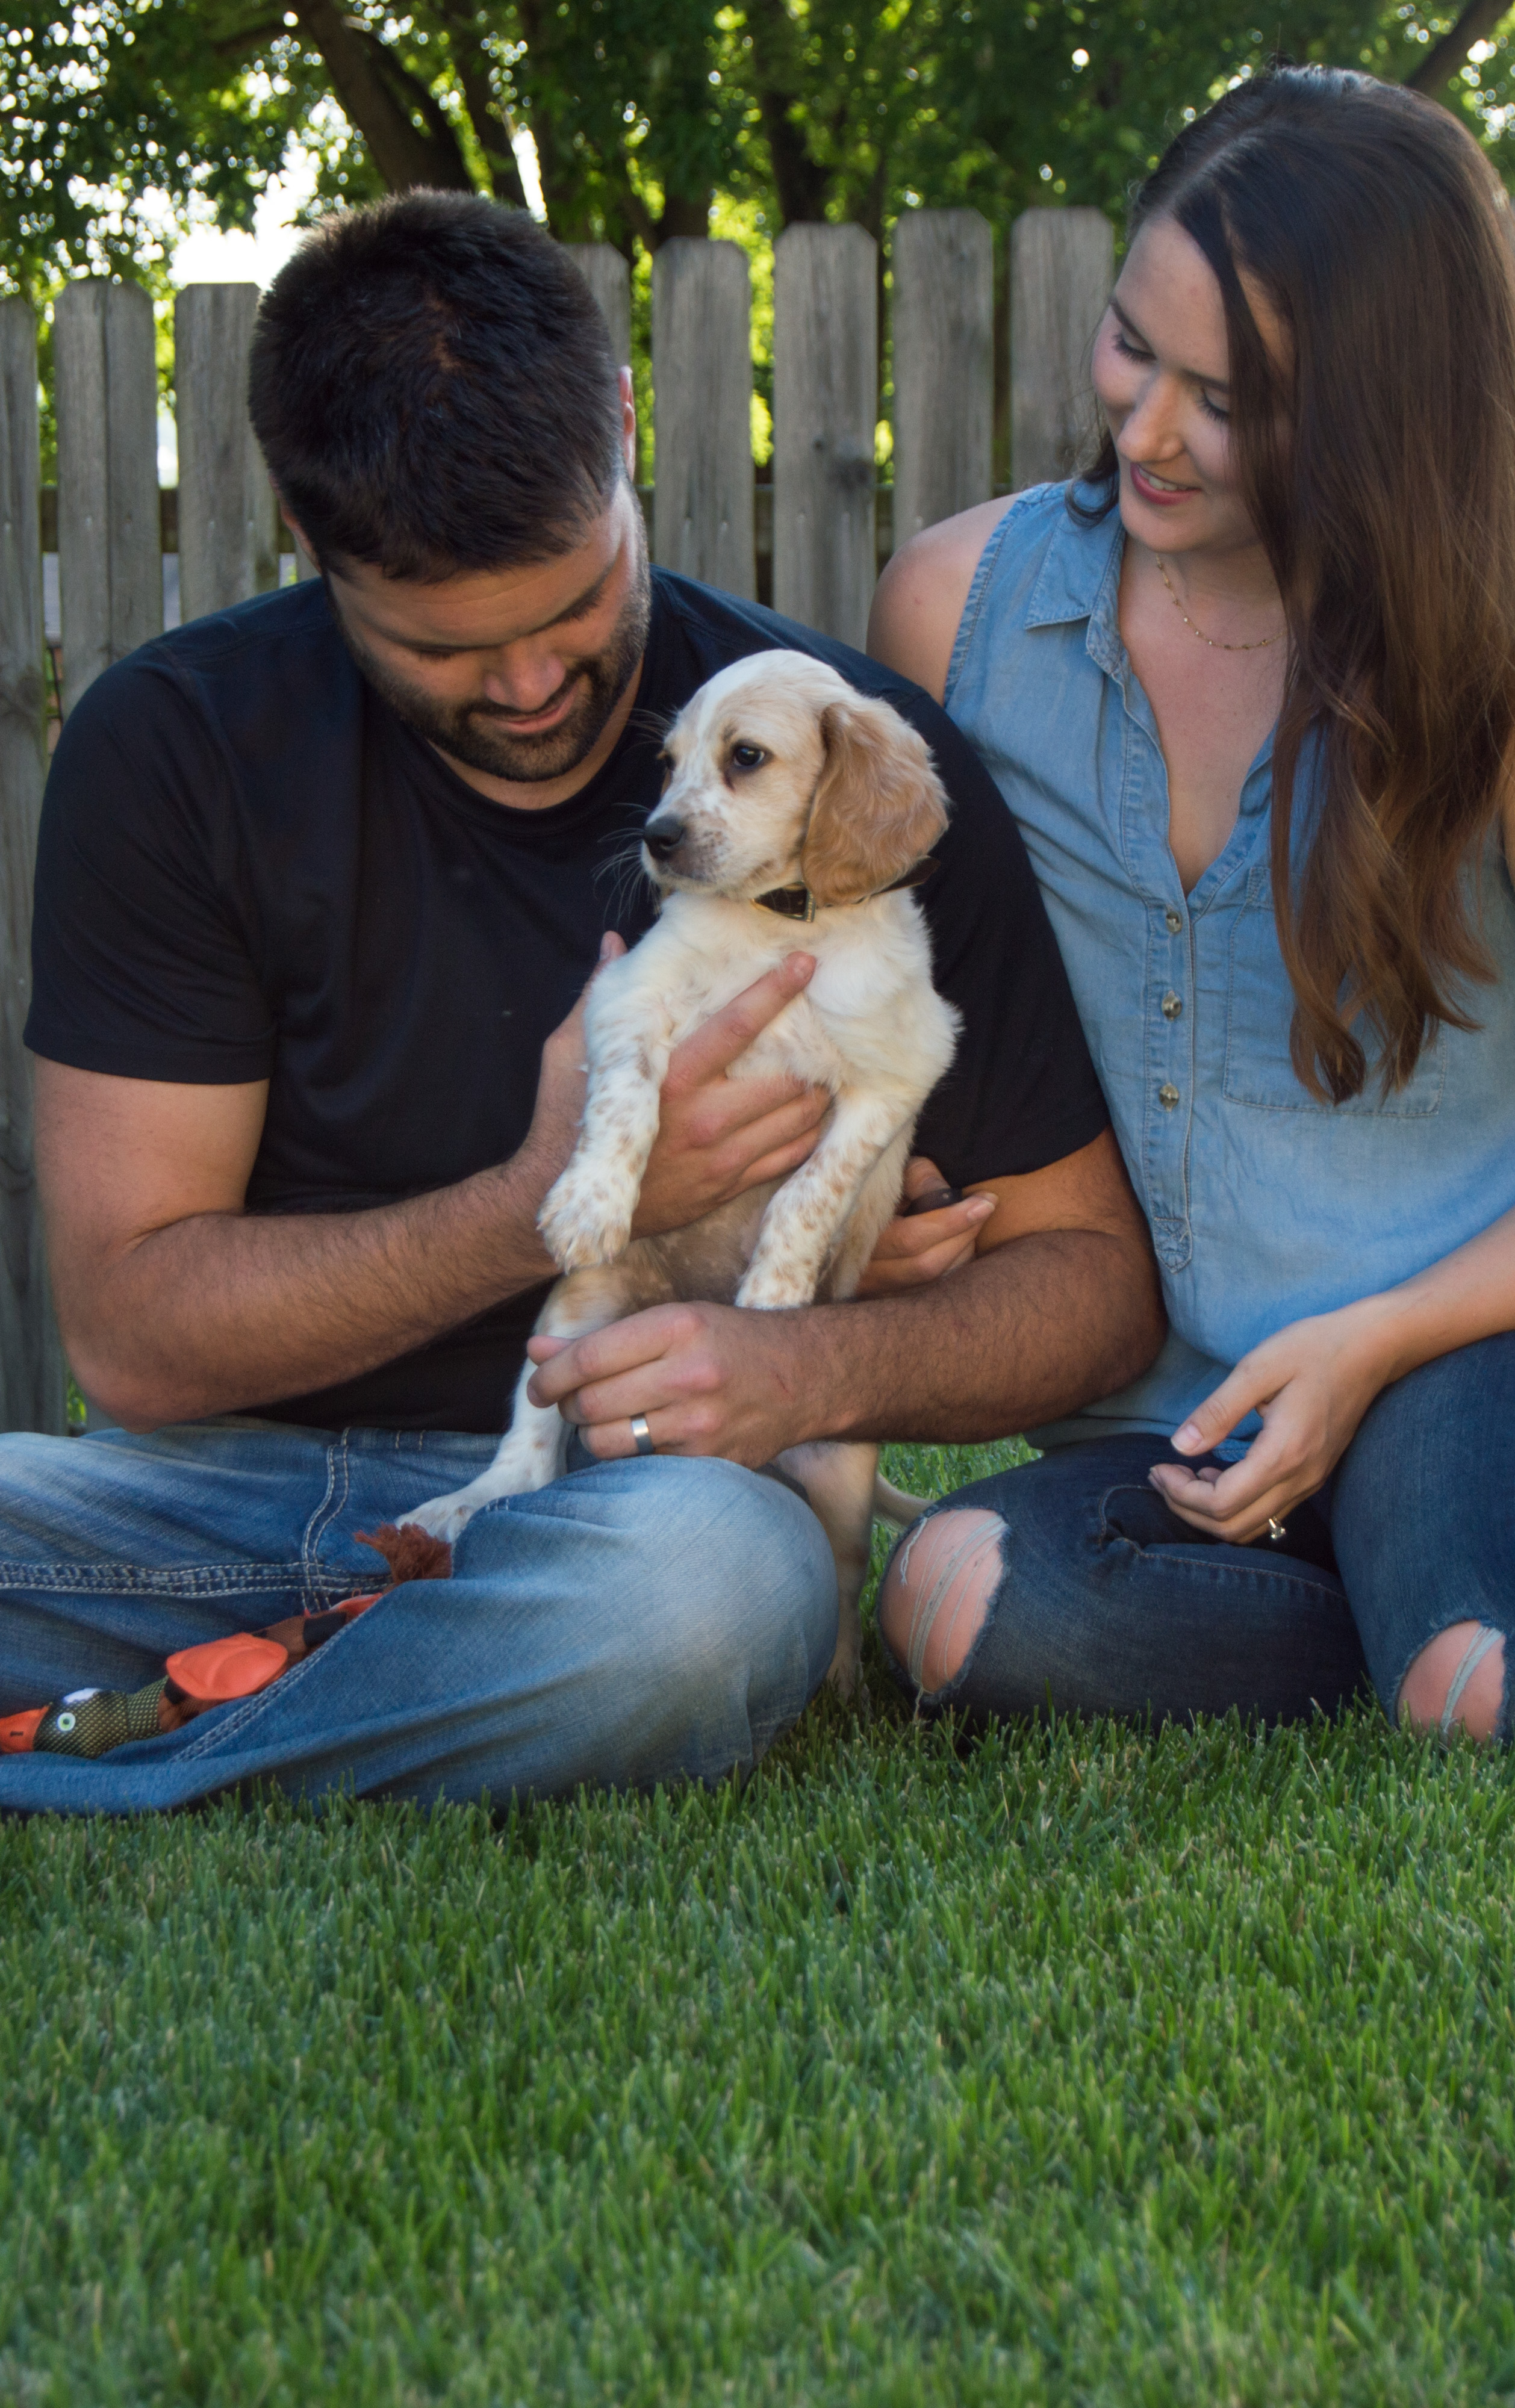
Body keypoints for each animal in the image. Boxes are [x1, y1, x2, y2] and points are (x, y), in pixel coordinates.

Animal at [409, 645, 959, 1695]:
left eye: (746, 757)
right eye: (665, 764)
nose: (657, 840)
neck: (784, 927)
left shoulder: (894, 1073)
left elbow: (812, 1189)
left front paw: (774, 1298)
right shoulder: (632, 995)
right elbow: (627, 1100)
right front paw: (589, 1201)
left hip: (841, 1471)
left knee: (838, 1578)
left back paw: (839, 1689)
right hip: (569, 1326)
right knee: (530, 1442)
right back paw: (460, 1506)